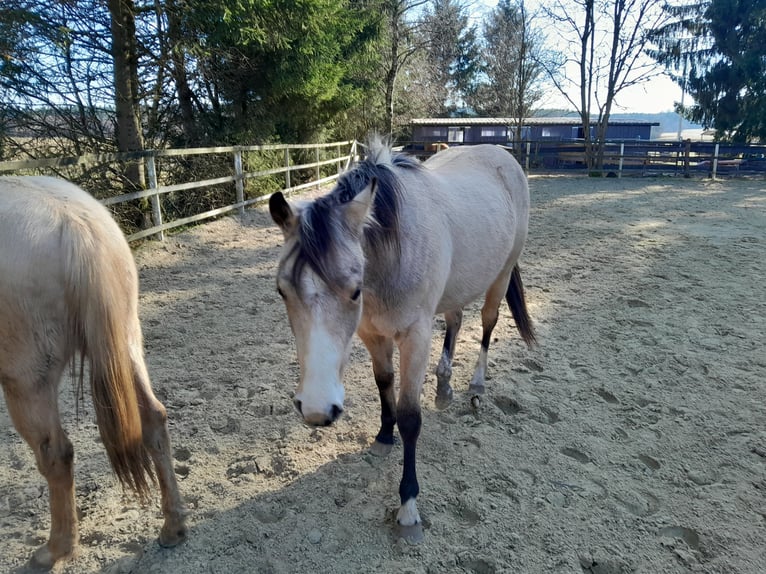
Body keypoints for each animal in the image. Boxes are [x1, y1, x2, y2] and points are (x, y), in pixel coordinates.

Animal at [0, 176, 187, 570]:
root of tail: (74, 222)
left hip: (26, 382)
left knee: (56, 453)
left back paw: (55, 549)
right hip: (127, 343)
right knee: (154, 419)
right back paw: (173, 527)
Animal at [269, 139, 535, 542]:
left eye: (355, 291)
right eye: (282, 291)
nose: (316, 409)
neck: (393, 252)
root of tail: (501, 153)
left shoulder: (415, 336)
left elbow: (410, 417)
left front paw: (408, 506)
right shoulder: (372, 333)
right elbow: (384, 384)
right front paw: (383, 436)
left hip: (501, 275)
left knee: (488, 323)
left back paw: (475, 385)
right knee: (455, 319)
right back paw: (444, 386)